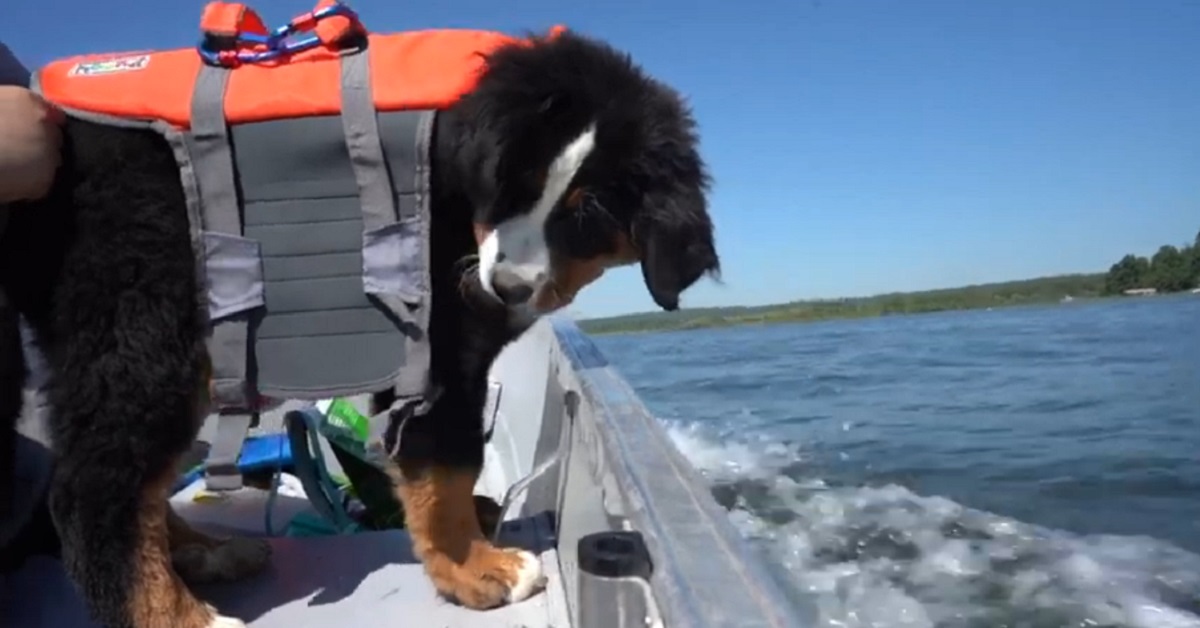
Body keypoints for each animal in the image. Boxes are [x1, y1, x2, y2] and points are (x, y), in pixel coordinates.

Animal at [0, 27, 710, 624]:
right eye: (512, 185)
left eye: (586, 213)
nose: (503, 287)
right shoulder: (438, 349)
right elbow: (447, 463)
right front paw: (474, 567)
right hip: (144, 316)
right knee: (95, 487)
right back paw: (180, 616)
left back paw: (205, 553)